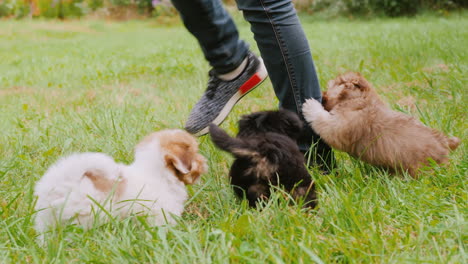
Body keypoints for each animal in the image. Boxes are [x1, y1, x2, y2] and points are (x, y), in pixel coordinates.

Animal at [34, 129, 207, 234]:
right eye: (195, 152)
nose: (204, 162)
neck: (156, 173)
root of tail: (62, 179)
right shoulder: (159, 214)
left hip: (45, 218)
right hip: (84, 216)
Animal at [302, 71, 458, 177]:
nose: (322, 96)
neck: (360, 100)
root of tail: (445, 142)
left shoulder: (339, 126)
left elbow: (322, 120)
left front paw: (310, 105)